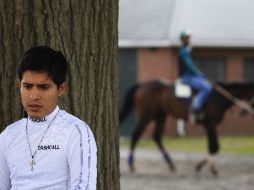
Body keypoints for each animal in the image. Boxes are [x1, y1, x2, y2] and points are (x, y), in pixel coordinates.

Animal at [119, 78, 254, 175]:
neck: (218, 96)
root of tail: (142, 84)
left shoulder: (209, 125)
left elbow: (214, 147)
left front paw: (202, 166)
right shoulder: (210, 124)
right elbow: (214, 147)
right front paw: (207, 168)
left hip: (160, 116)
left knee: (156, 137)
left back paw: (171, 164)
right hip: (147, 116)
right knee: (136, 135)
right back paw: (131, 165)